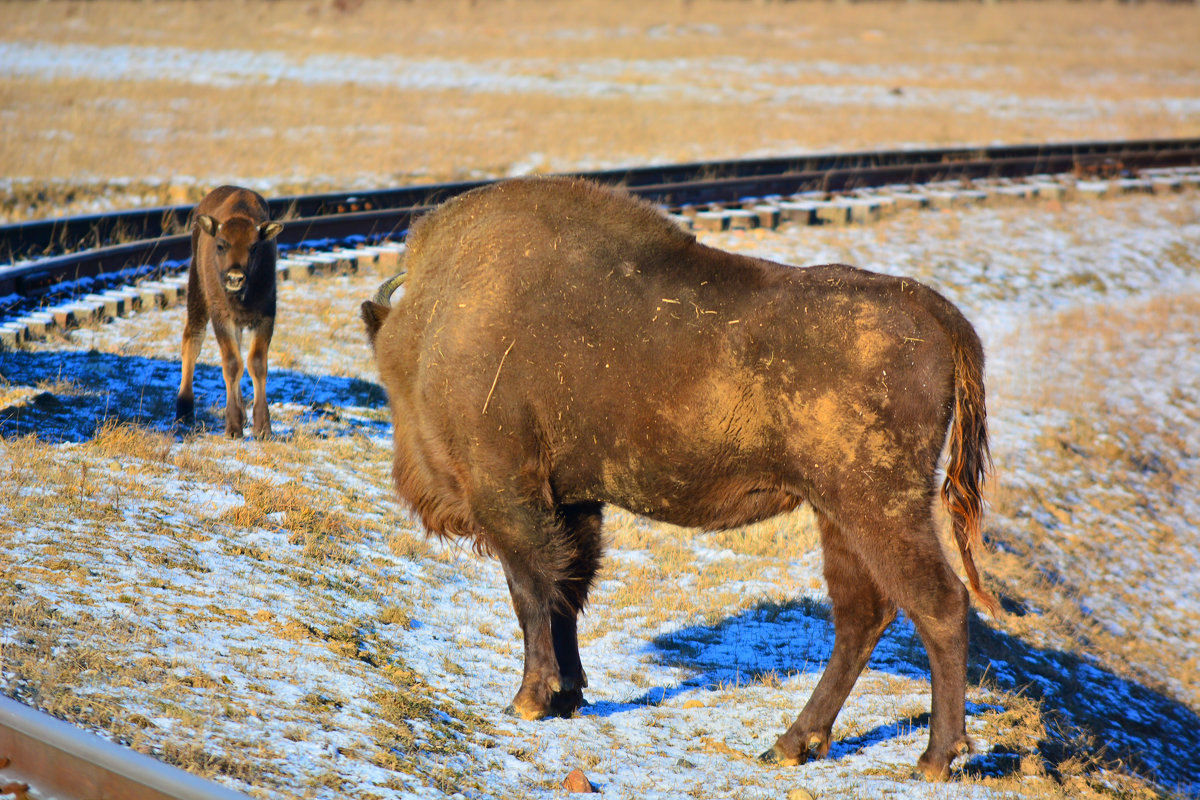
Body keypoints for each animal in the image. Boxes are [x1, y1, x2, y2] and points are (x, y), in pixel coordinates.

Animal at [175, 184, 282, 438]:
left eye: (254, 247)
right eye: (221, 245)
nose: (235, 278)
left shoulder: (265, 317)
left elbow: (256, 364)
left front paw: (262, 428)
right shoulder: (221, 318)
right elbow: (232, 364)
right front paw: (233, 428)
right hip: (197, 292)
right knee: (192, 342)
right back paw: (184, 410)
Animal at [360, 176, 998, 782]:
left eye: (390, 377)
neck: (437, 318)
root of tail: (936, 314)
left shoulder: (509, 495)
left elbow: (532, 591)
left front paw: (530, 700)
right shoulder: (574, 502)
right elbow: (568, 588)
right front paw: (568, 696)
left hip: (879, 508)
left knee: (938, 603)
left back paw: (934, 758)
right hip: (838, 515)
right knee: (862, 615)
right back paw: (790, 745)